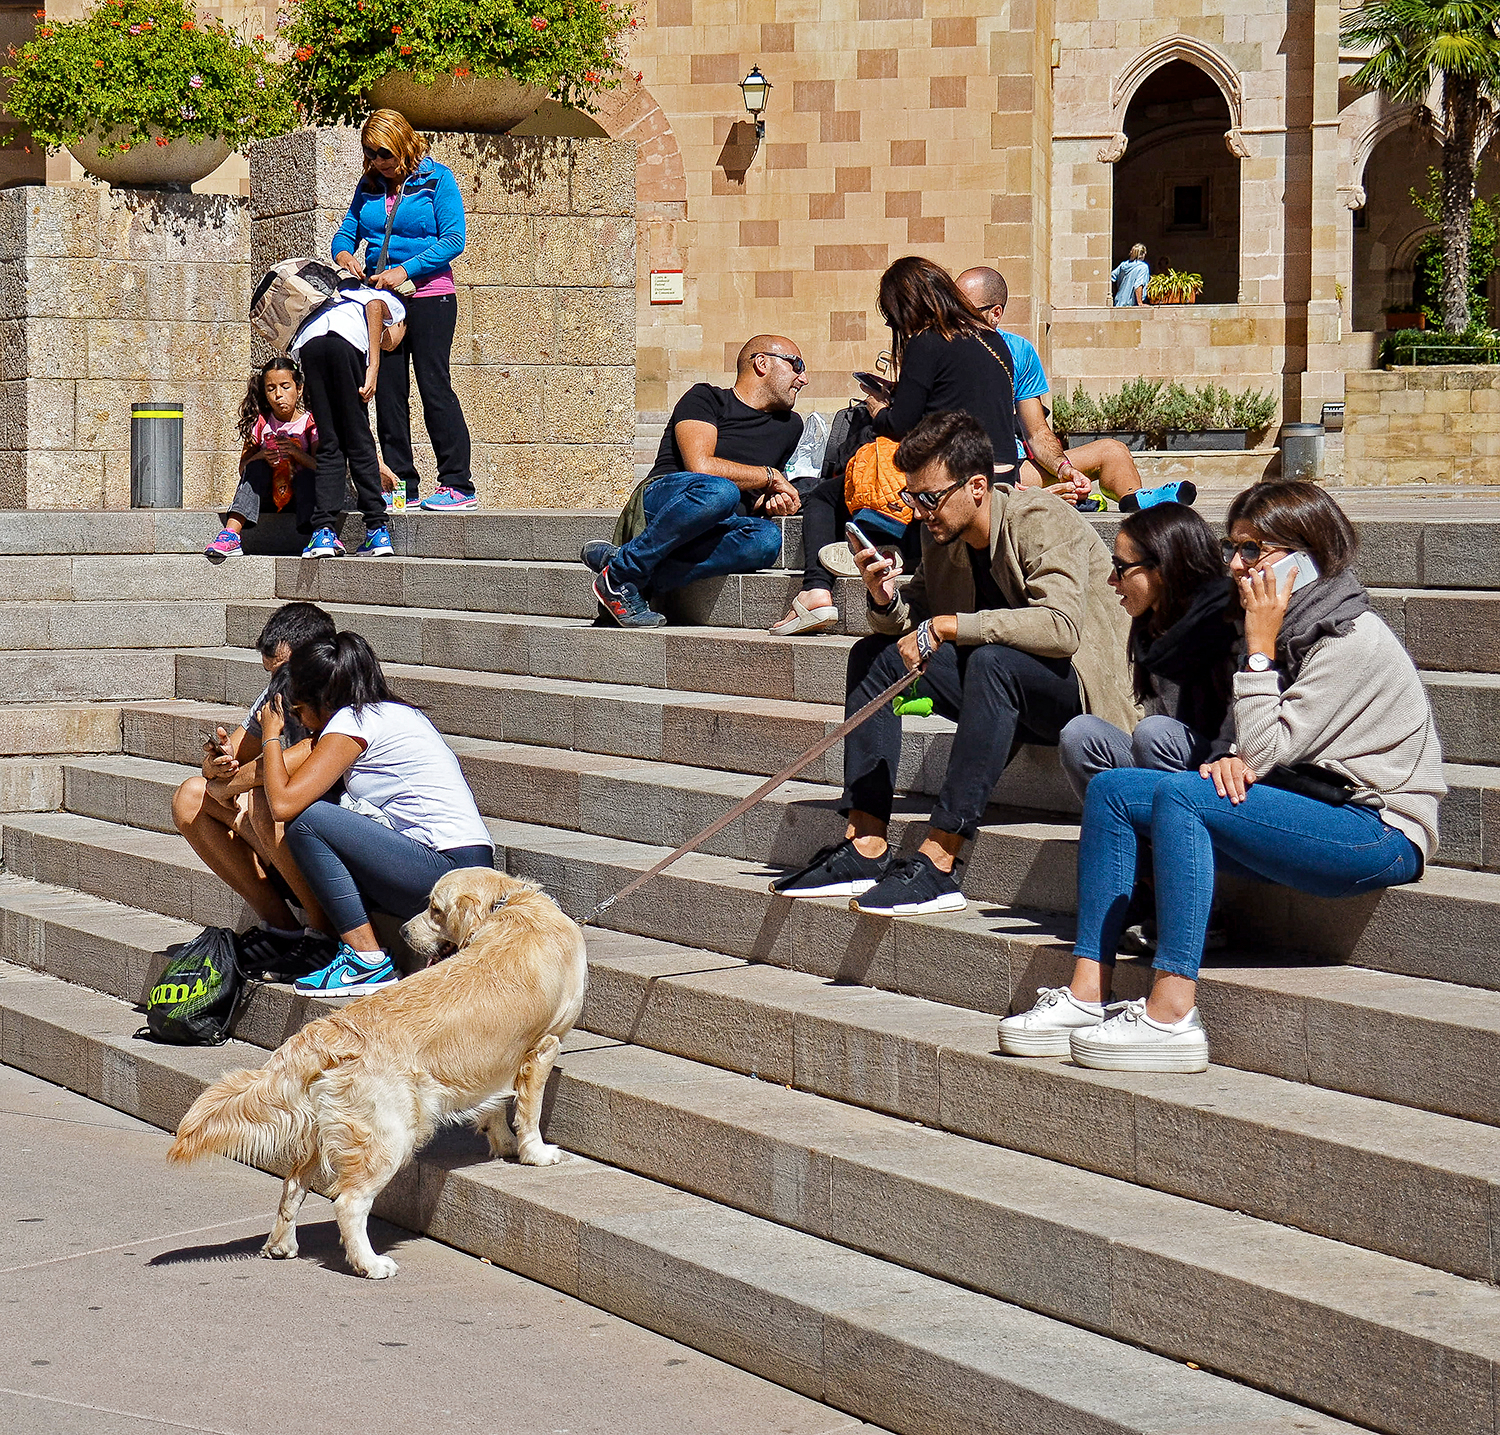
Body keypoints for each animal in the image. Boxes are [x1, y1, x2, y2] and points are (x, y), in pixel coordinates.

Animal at [167, 863, 582, 1277]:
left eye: (435, 910)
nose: (402, 932)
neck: (507, 906)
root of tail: (325, 1033)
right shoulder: (544, 1047)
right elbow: (530, 1111)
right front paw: (535, 1152)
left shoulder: (497, 1060)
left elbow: (495, 1106)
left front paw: (504, 1143)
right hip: (389, 1135)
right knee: (349, 1201)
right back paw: (369, 1263)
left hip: (322, 1133)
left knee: (292, 1186)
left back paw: (281, 1245)